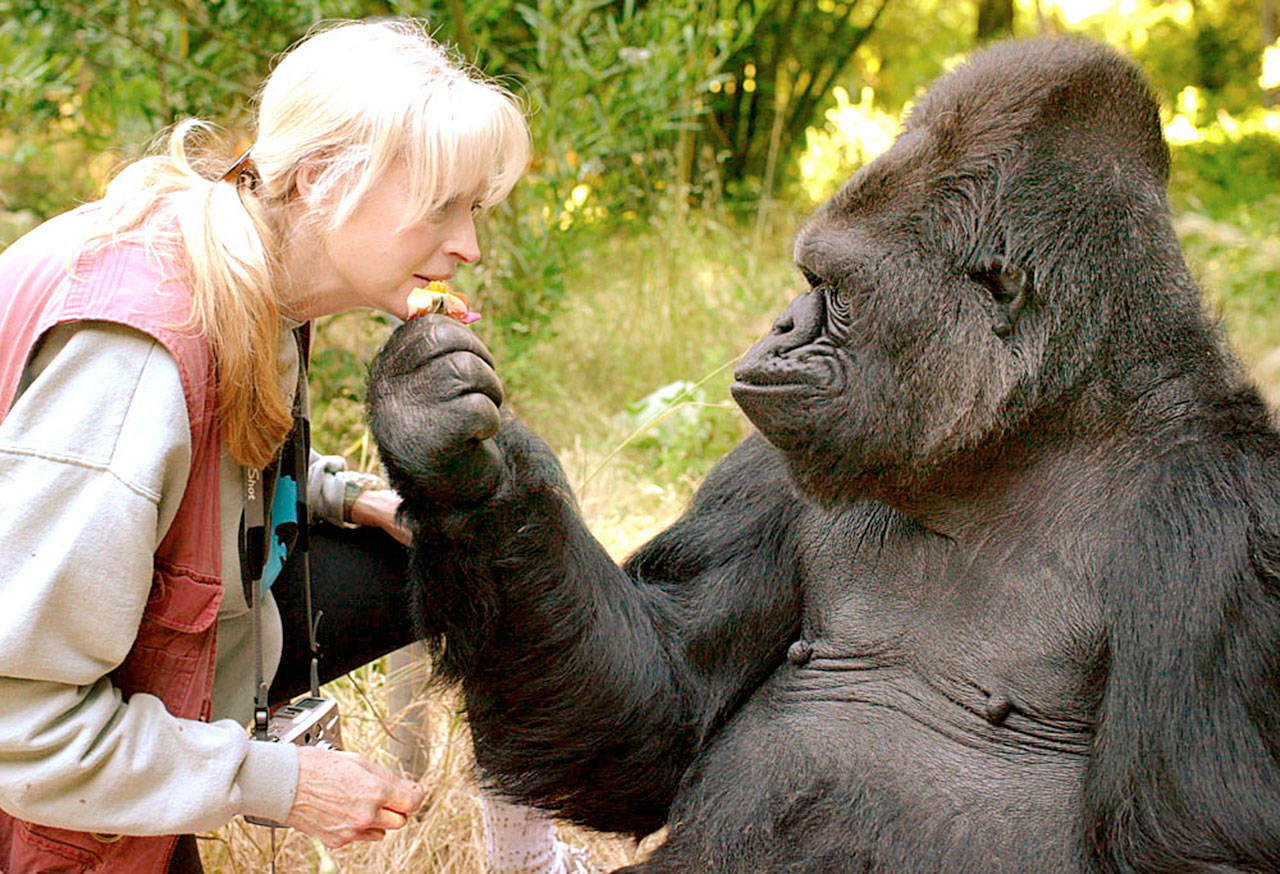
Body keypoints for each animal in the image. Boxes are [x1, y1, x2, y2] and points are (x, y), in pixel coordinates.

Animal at [366, 39, 1280, 874]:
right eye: (808, 280)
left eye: (833, 291)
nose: (778, 326)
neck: (1029, 431)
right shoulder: (773, 466)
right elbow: (657, 707)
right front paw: (452, 457)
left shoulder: (1231, 532)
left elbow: (1195, 843)